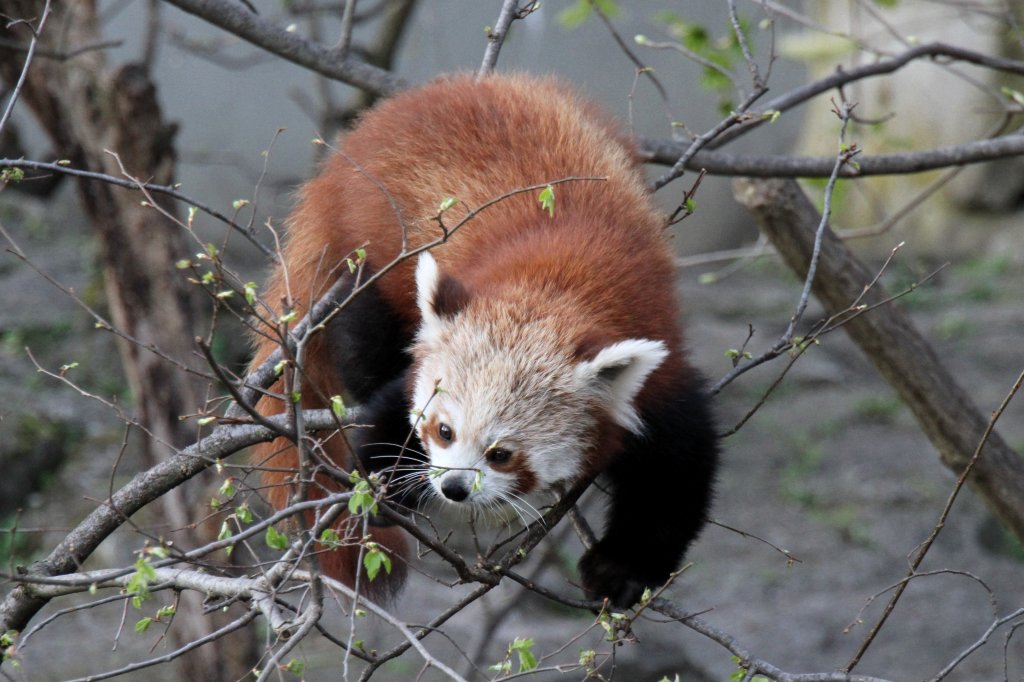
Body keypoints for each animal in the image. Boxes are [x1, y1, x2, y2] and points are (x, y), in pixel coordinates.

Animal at [245, 74, 720, 606]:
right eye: (443, 430)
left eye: (502, 454)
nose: (453, 487)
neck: (559, 287)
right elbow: (391, 409)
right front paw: (381, 486)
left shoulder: (656, 358)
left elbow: (673, 471)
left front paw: (622, 570)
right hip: (373, 252)